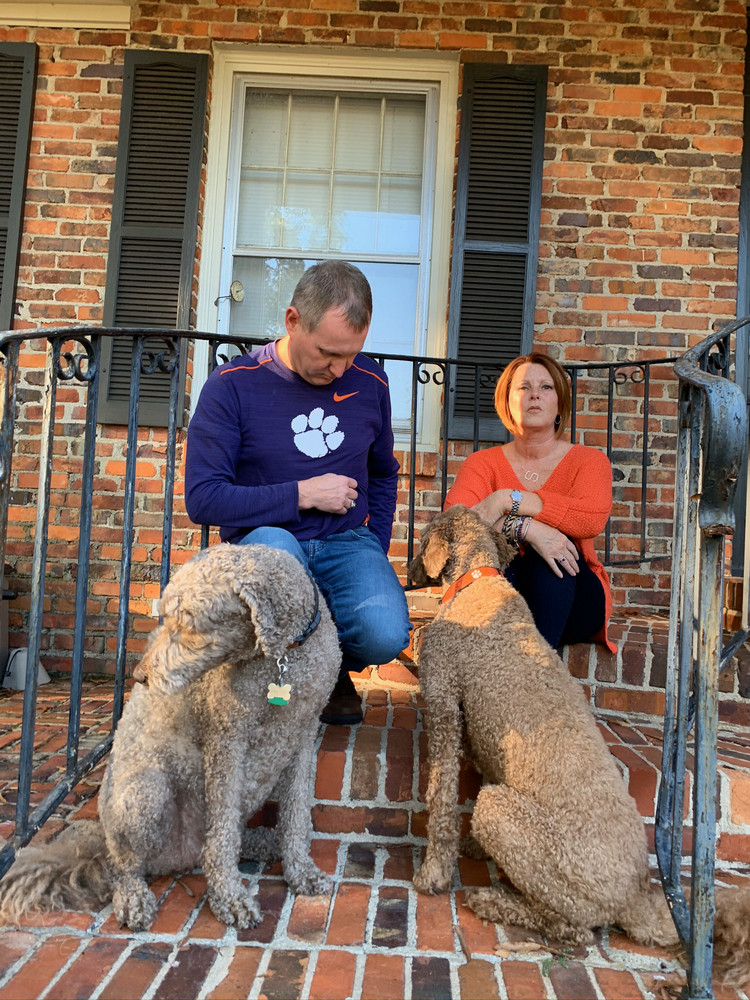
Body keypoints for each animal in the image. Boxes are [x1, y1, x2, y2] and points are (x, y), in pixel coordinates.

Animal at [0, 543, 341, 931]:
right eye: (163, 617)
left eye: (189, 625)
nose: (140, 676)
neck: (284, 658)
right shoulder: (226, 740)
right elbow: (222, 836)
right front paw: (230, 897)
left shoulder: (303, 734)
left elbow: (297, 815)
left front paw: (300, 869)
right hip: (145, 793)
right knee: (128, 865)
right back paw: (133, 897)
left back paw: (264, 841)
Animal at [410, 505, 750, 987]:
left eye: (421, 539)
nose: (409, 570)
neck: (479, 579)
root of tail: (635, 895)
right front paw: (469, 846)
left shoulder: (442, 702)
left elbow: (440, 802)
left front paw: (434, 873)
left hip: (506, 817)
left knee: (572, 928)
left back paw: (495, 902)